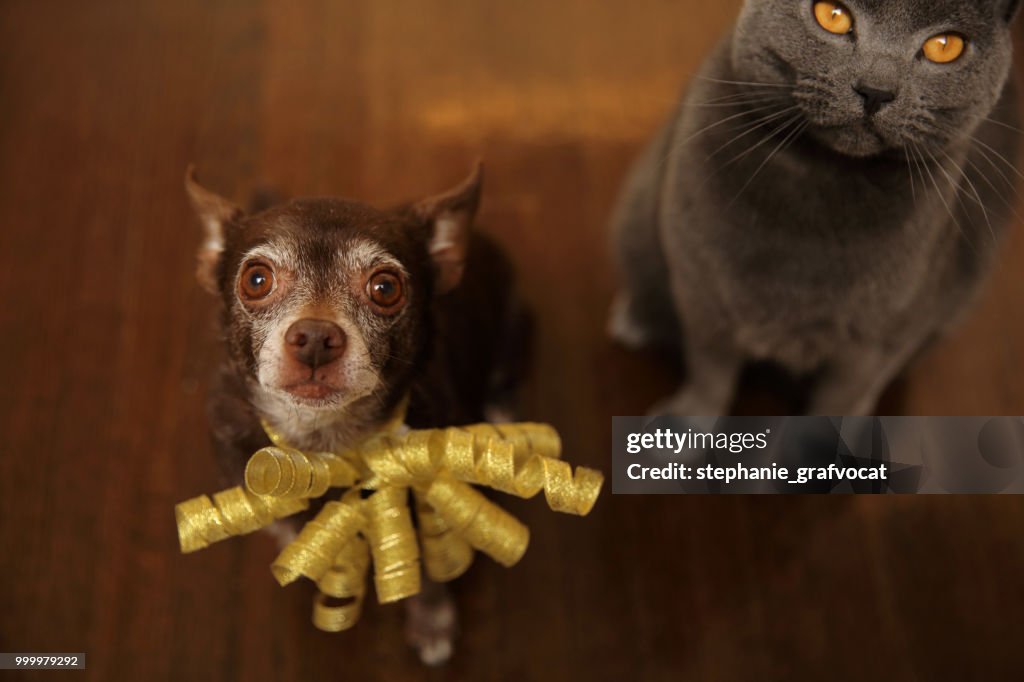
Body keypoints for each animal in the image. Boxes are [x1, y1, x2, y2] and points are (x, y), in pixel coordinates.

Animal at [185, 160, 532, 663]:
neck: (325, 446)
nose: (314, 336)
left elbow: (427, 573)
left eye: (385, 288)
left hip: (515, 327)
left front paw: (432, 621)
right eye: (256, 279)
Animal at [610, 0, 1019, 413]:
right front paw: (687, 420)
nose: (876, 90)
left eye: (944, 46)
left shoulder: (881, 338)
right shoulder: (701, 289)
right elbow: (710, 370)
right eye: (832, 15)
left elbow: (841, 400)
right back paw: (634, 319)